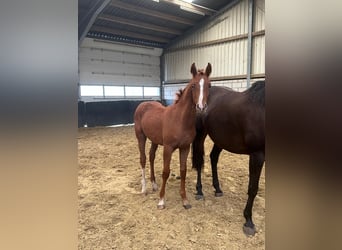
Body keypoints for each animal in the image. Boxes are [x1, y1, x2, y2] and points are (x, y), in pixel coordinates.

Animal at [134, 62, 211, 209]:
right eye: (193, 85)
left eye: (209, 85)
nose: (201, 107)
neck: (180, 119)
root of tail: (143, 104)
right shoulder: (168, 148)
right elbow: (166, 172)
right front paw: (161, 201)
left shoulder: (185, 148)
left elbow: (183, 171)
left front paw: (185, 200)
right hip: (141, 137)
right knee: (143, 159)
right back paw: (144, 188)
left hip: (154, 140)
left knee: (151, 157)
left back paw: (154, 184)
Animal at [192, 81, 264, 235]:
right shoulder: (257, 155)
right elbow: (253, 188)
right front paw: (248, 221)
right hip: (200, 134)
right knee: (200, 161)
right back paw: (199, 191)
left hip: (221, 139)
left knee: (213, 157)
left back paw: (218, 189)